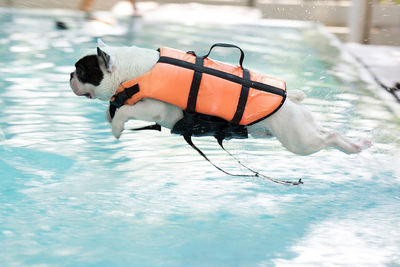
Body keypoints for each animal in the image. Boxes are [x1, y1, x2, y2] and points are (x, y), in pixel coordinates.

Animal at [69, 40, 372, 156]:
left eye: (82, 71)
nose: (69, 75)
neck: (130, 70)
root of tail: (291, 99)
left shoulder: (156, 109)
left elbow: (124, 111)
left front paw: (116, 127)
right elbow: (113, 109)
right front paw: (109, 115)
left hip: (299, 140)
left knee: (329, 137)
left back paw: (354, 146)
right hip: (287, 132)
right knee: (326, 132)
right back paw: (358, 144)